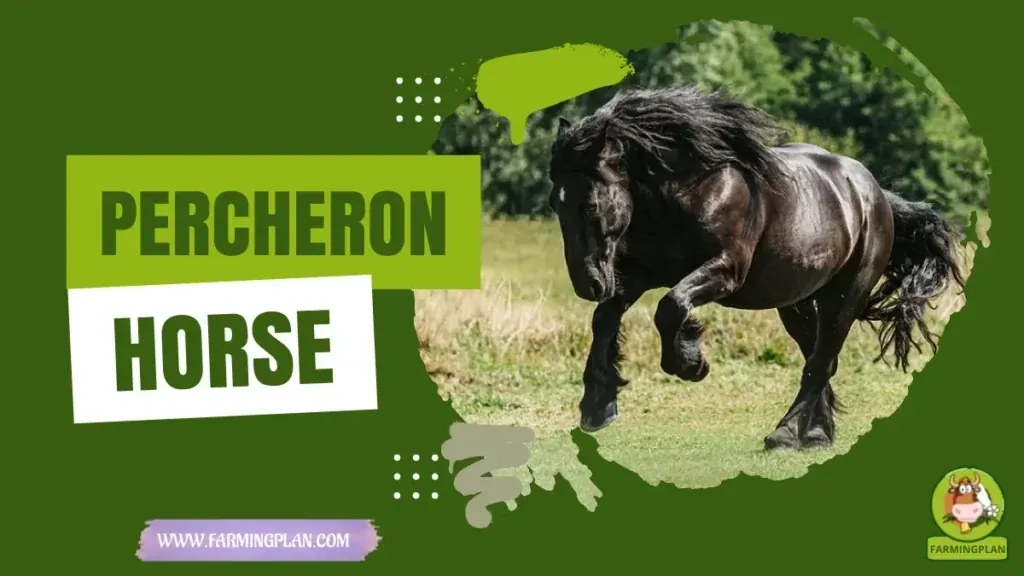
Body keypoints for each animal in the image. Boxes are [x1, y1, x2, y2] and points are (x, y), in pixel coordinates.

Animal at [547, 85, 965, 450]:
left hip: (845, 296)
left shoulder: (725, 271)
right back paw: (816, 434)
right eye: (555, 203)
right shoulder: (642, 273)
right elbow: (605, 318)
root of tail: (875, 195)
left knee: (820, 361)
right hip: (797, 302)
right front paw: (598, 406)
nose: (587, 284)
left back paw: (786, 434)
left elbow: (671, 307)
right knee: (819, 359)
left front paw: (690, 363)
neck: (690, 192)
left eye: (590, 205)